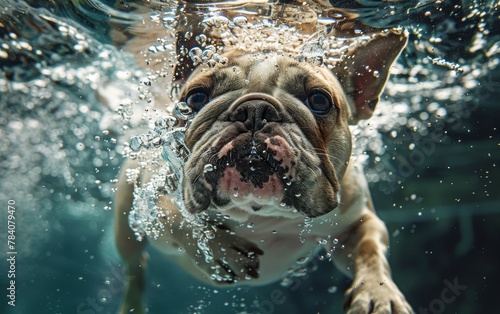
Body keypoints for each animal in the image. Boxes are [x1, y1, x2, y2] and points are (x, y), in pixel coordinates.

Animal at [115, 1, 412, 312]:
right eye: (196, 98)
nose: (255, 110)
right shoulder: (151, 203)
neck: (260, 214)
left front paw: (379, 295)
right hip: (125, 223)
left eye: (319, 101)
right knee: (135, 265)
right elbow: (176, 217)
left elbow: (370, 250)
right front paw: (219, 248)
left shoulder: (358, 221)